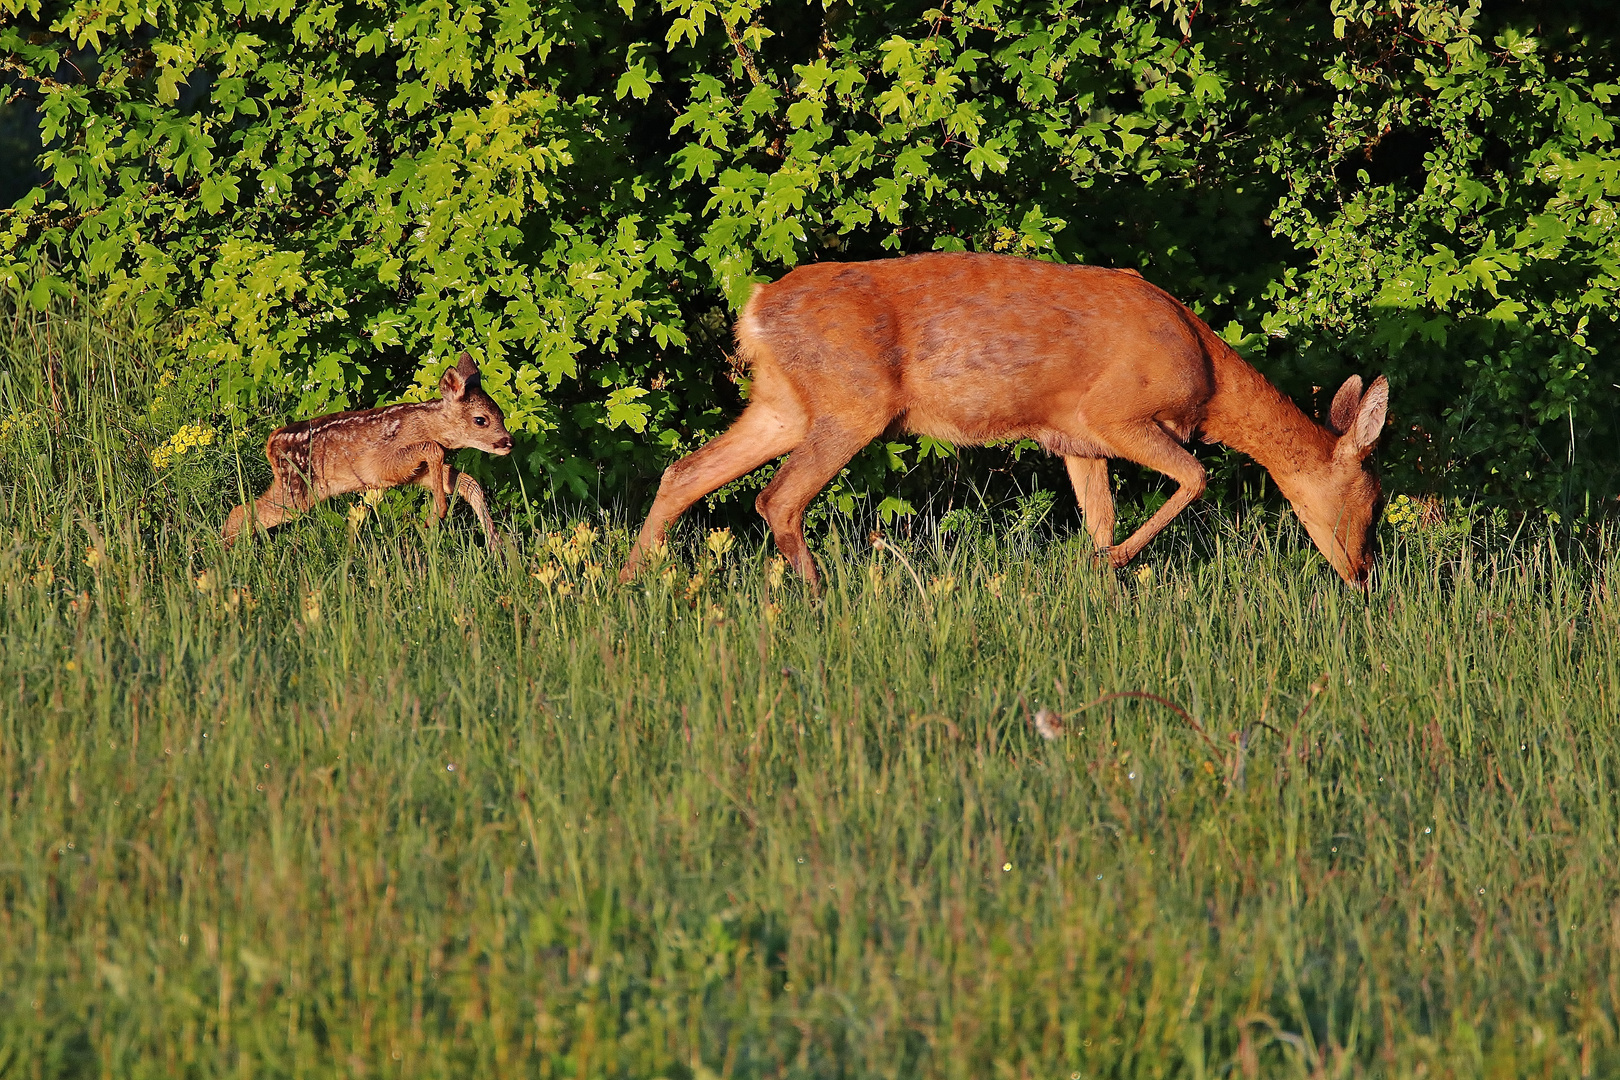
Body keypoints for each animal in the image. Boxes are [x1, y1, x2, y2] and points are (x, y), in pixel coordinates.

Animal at [223, 352, 511, 544]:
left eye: (502, 414)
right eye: (481, 420)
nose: (509, 442)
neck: (425, 424)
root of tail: (271, 441)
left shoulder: (416, 473)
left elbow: (469, 483)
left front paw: (495, 545)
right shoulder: (385, 467)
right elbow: (434, 449)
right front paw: (436, 514)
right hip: (297, 492)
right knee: (242, 510)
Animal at [622, 252, 1393, 586]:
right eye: (1375, 500)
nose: (1363, 573)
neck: (1206, 378)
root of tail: (753, 311)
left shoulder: (1077, 439)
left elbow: (1099, 517)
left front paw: (1103, 579)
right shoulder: (1118, 412)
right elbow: (1197, 477)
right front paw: (1116, 563)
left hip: (783, 403)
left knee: (685, 471)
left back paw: (631, 584)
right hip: (851, 403)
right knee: (778, 497)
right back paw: (818, 597)